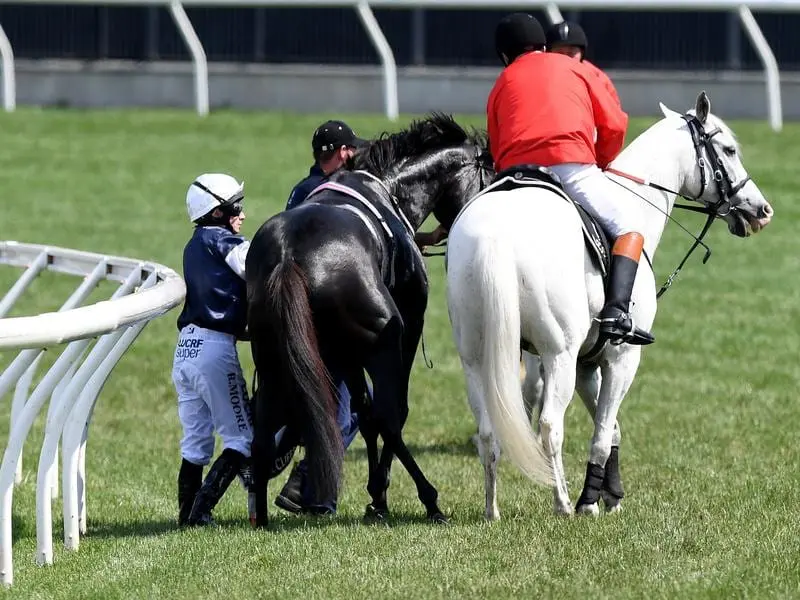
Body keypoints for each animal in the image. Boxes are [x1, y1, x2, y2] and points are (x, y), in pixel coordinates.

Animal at [244, 112, 494, 524]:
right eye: (489, 178)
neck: (387, 187)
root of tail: (287, 255)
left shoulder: (344, 351)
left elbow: (362, 412)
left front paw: (377, 494)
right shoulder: (404, 329)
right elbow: (388, 412)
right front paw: (379, 495)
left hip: (272, 356)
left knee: (264, 430)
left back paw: (261, 516)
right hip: (382, 342)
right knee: (389, 417)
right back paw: (427, 499)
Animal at [446, 91, 772, 516]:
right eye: (730, 150)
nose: (761, 210)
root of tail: (497, 232)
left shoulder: (588, 362)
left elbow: (610, 427)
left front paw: (610, 494)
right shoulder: (620, 358)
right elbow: (602, 433)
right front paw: (590, 501)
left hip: (475, 356)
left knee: (487, 432)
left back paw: (492, 509)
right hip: (557, 355)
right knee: (550, 427)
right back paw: (563, 503)